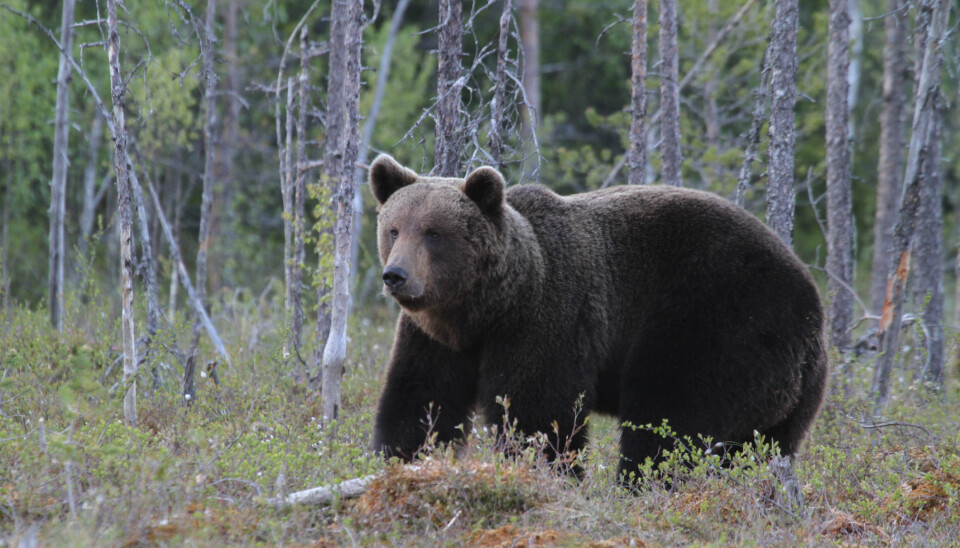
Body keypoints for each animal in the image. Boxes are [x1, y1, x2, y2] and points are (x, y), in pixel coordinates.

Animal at [368, 154, 827, 480]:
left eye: (433, 233)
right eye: (393, 228)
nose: (396, 275)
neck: (487, 311)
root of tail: (812, 304)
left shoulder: (547, 318)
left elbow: (539, 412)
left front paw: (543, 471)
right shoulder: (435, 339)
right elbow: (420, 400)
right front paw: (401, 460)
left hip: (716, 320)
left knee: (669, 417)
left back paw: (641, 486)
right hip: (789, 394)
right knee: (764, 446)